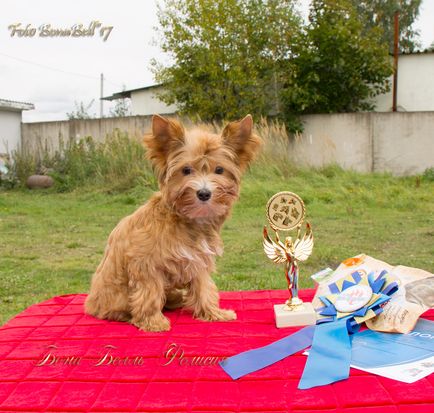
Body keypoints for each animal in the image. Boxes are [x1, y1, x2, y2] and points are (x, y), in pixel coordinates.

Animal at [85, 113, 262, 332]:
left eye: (219, 170)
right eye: (186, 170)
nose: (204, 193)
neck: (185, 218)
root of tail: (91, 304)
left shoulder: (198, 260)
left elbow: (204, 287)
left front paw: (213, 313)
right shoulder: (145, 263)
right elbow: (149, 292)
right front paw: (153, 322)